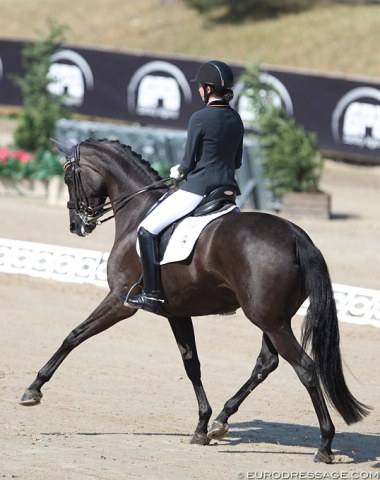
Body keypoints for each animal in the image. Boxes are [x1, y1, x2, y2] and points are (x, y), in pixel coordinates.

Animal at [19, 138, 370, 462]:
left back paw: (325, 445)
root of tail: (297, 236)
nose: (77, 225)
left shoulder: (119, 301)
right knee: (266, 363)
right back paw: (221, 421)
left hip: (269, 319)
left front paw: (33, 389)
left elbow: (74, 335)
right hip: (273, 318)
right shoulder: (177, 313)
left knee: (306, 368)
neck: (138, 211)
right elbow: (192, 365)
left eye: (68, 174)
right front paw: (201, 425)